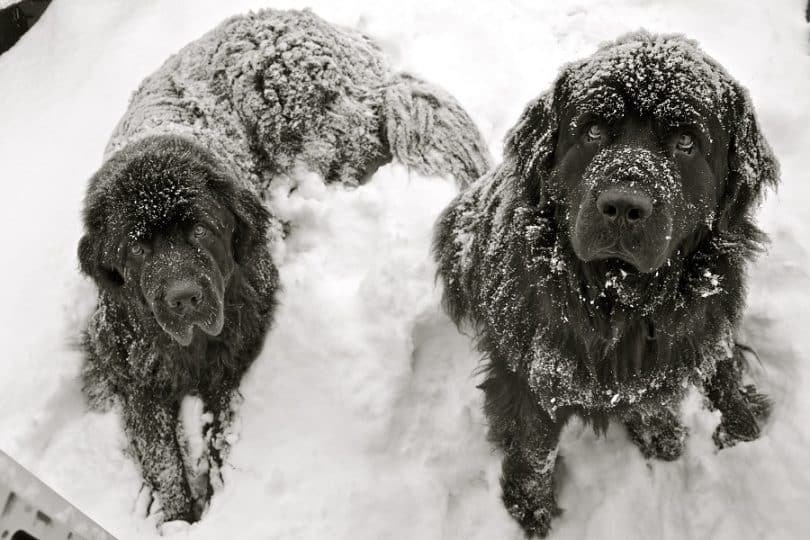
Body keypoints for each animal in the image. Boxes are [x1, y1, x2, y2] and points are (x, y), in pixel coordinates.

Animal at [79, 7, 490, 524]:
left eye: (200, 230)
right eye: (137, 249)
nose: (184, 298)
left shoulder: (236, 349)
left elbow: (217, 432)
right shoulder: (132, 372)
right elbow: (161, 457)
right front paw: (175, 514)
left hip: (301, 128)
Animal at [432, 31, 772, 536]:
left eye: (686, 142)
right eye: (593, 131)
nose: (623, 206)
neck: (619, 297)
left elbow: (657, 391)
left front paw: (661, 433)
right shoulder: (529, 372)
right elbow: (534, 446)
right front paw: (530, 509)